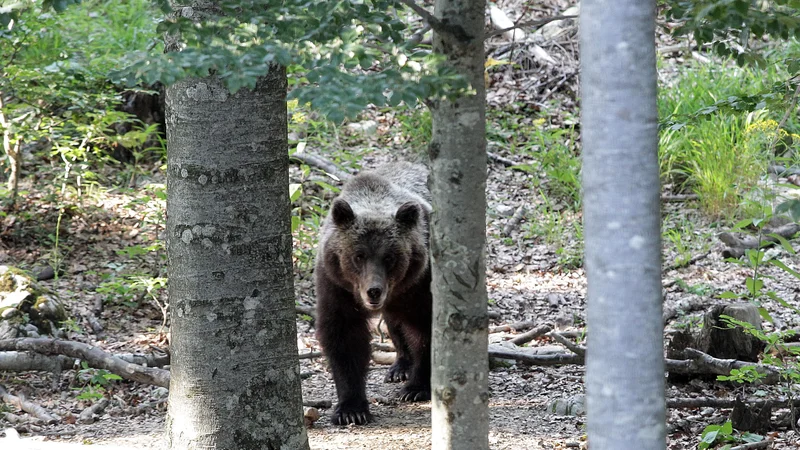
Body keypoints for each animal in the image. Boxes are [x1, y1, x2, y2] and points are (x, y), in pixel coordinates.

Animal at [316, 163, 434, 426]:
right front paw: (351, 409)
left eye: (389, 257)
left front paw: (417, 388)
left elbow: (424, 328)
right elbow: (344, 337)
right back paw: (399, 367)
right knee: (395, 325)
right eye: (359, 255)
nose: (374, 291)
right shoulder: (336, 287)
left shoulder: (420, 283)